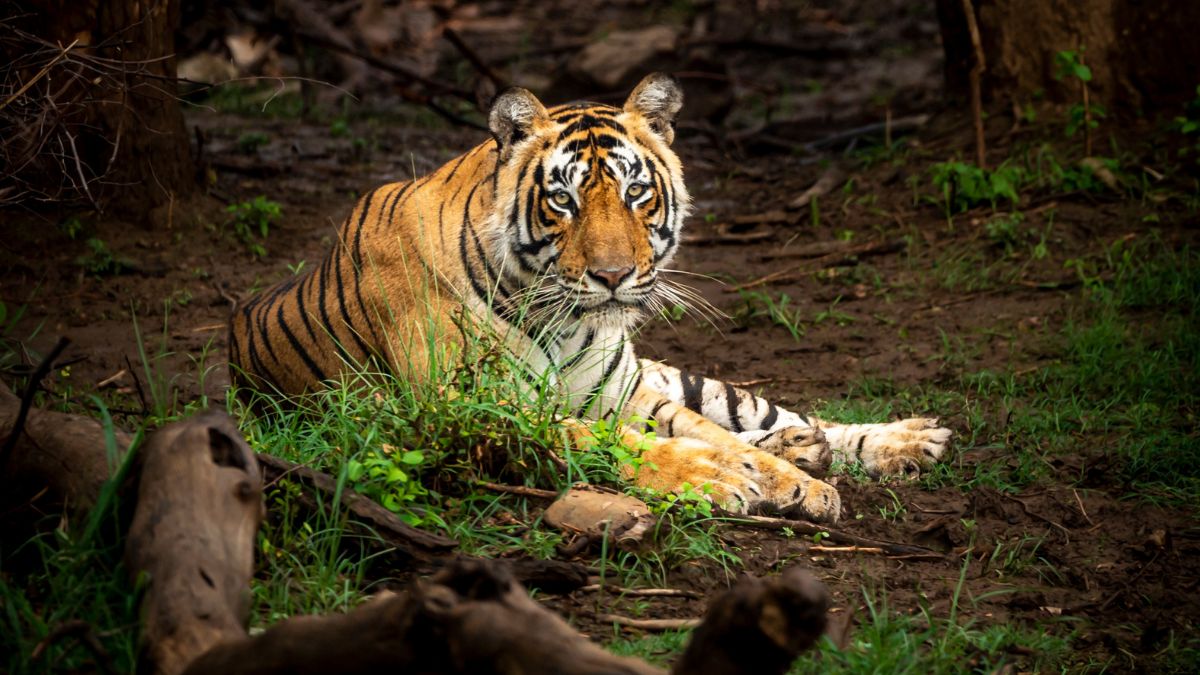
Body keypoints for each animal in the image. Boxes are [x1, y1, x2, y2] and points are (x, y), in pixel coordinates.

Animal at [229, 74, 950, 526]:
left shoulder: (622, 392)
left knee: (764, 410)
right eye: (563, 199)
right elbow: (639, 446)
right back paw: (810, 448)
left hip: (668, 376)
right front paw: (721, 480)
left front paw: (794, 482)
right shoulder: (479, 410)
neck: (563, 321)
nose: (613, 275)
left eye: (635, 193)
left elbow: (711, 433)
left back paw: (899, 440)